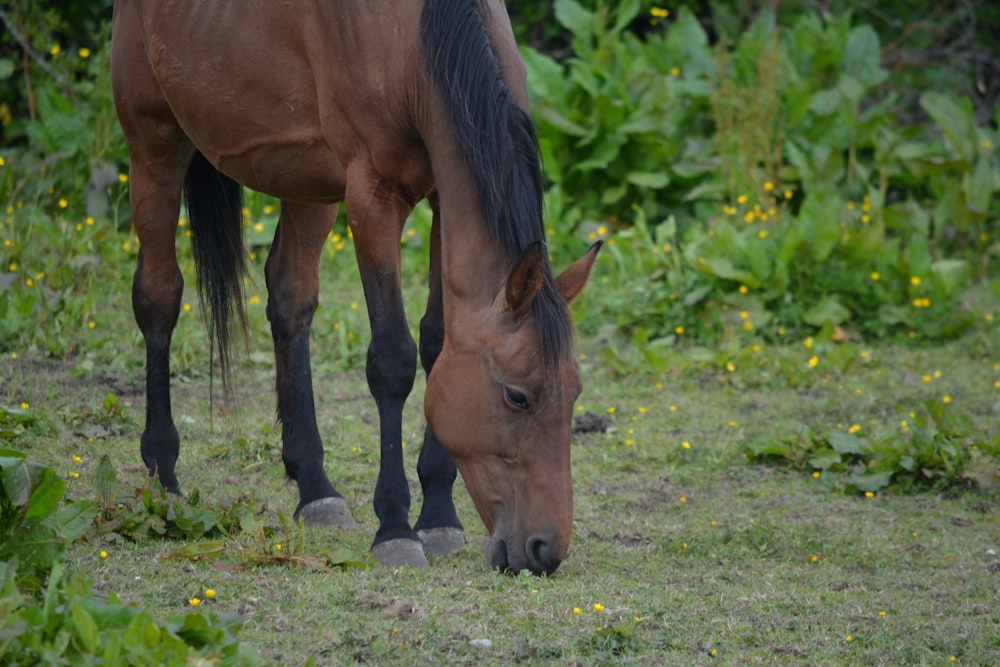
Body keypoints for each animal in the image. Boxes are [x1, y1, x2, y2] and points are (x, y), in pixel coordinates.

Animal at [110, 0, 596, 576]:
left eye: (575, 393)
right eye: (517, 397)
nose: (546, 550)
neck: (416, 42)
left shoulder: (441, 193)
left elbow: (437, 342)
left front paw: (438, 515)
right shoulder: (372, 199)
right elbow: (392, 361)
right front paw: (395, 527)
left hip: (306, 179)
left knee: (290, 298)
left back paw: (315, 487)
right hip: (153, 138)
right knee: (158, 298)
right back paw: (163, 476)